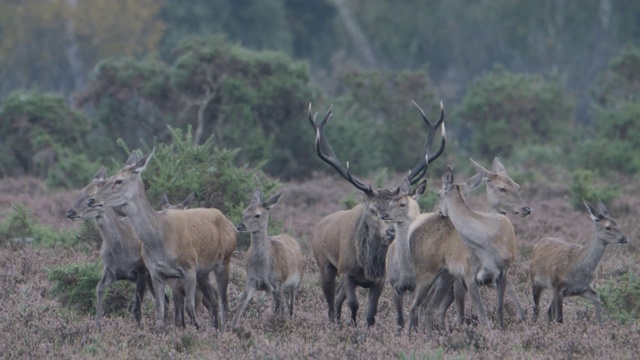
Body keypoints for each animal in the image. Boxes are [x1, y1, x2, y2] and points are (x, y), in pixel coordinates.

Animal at [84, 150, 235, 330]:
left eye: (118, 180)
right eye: (109, 178)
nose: (91, 200)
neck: (160, 238)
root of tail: (230, 224)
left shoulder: (189, 268)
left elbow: (190, 308)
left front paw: (197, 330)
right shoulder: (156, 273)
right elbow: (159, 311)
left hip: (224, 260)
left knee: (223, 301)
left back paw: (224, 329)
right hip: (204, 272)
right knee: (213, 301)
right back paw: (216, 328)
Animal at [232, 188, 304, 330]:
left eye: (257, 215)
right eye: (243, 212)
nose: (239, 226)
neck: (263, 267)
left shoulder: (278, 281)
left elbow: (278, 309)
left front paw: (276, 325)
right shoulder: (251, 279)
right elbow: (242, 303)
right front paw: (231, 327)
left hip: (295, 281)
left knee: (291, 303)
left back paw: (291, 318)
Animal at [308, 101, 444, 326]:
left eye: (397, 205)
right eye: (372, 210)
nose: (390, 232)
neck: (366, 265)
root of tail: (319, 224)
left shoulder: (380, 279)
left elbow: (371, 314)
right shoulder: (346, 271)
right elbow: (354, 305)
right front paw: (352, 325)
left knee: (337, 299)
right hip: (324, 264)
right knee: (330, 302)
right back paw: (334, 323)